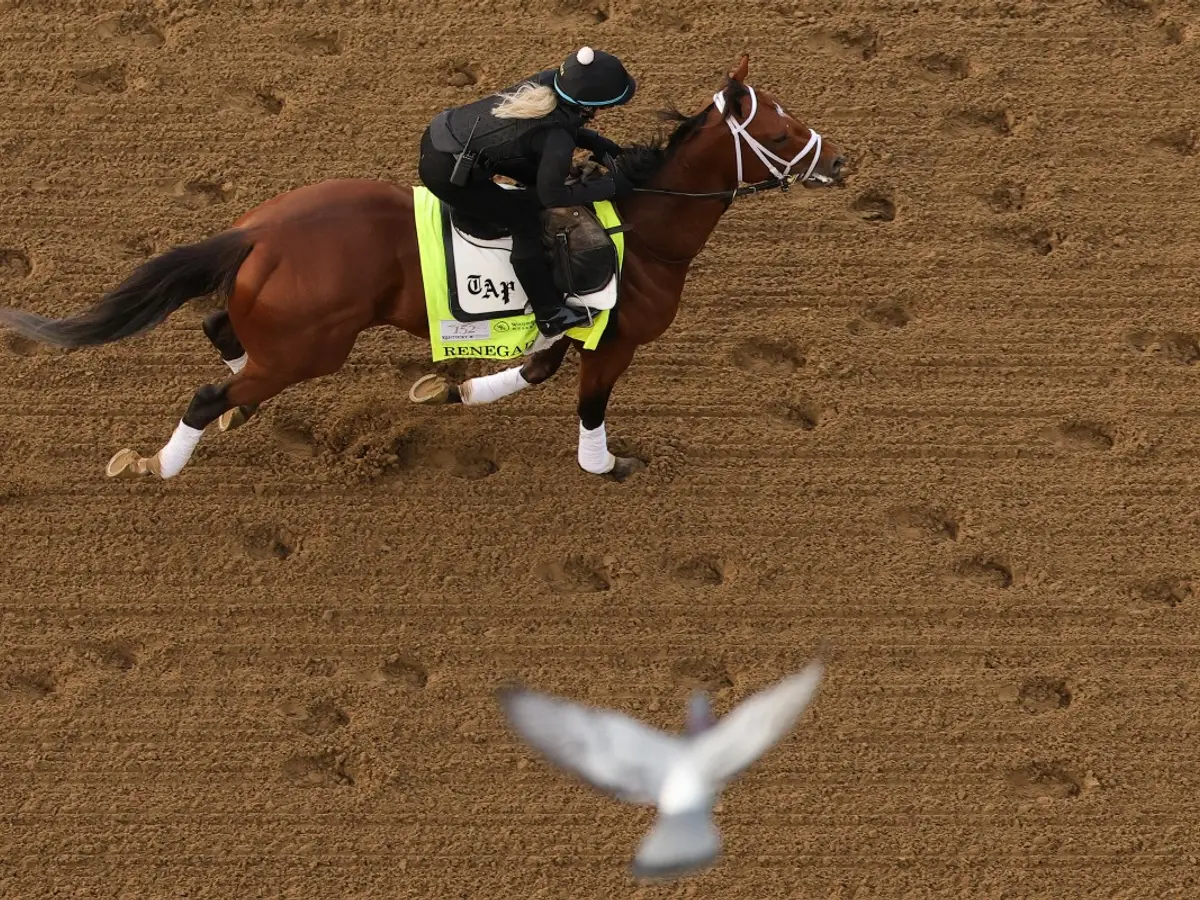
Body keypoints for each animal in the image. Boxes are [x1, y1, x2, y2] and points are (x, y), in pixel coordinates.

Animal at [0, 54, 846, 483]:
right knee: (209, 393)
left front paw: (453, 389)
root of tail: (254, 230)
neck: (643, 233)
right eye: (781, 129)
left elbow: (532, 368)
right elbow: (588, 403)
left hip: (282, 323)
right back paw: (162, 462)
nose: (839, 159)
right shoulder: (615, 339)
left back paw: (236, 405)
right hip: (312, 346)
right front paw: (603, 464)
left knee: (218, 328)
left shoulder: (570, 331)